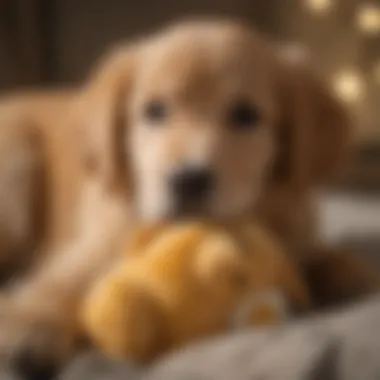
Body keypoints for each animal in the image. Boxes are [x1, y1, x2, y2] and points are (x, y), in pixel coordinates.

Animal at [0, 20, 376, 378]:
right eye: (154, 110)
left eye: (245, 114)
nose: (188, 180)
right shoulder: (95, 244)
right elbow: (63, 284)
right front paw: (28, 331)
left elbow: (308, 251)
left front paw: (342, 270)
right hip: (17, 169)